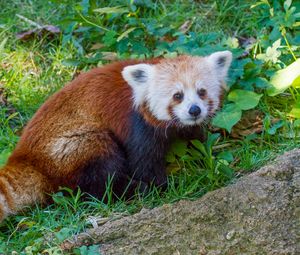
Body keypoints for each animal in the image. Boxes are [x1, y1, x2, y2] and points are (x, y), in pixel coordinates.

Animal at [0, 51, 232, 221]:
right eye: (177, 95)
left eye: (202, 91)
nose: (194, 110)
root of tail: (25, 157)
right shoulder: (137, 125)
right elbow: (144, 163)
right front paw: (164, 186)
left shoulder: (186, 127)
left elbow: (194, 140)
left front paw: (206, 161)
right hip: (74, 144)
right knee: (99, 177)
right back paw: (134, 189)